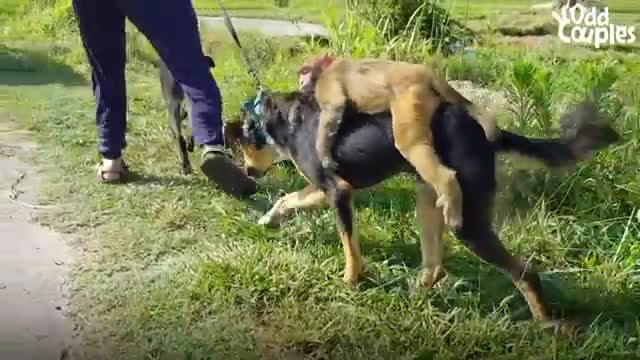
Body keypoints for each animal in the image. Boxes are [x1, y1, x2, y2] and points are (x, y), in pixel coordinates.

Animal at [225, 89, 620, 334]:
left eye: (242, 145)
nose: (249, 173)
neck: (281, 119)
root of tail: (484, 131)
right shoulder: (326, 188)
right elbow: (287, 200)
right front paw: (269, 218)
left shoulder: (338, 191)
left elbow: (349, 244)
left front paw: (351, 281)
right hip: (430, 200)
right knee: (436, 264)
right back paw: (416, 291)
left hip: (467, 223)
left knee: (526, 274)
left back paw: (547, 324)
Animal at [298, 53, 498, 228]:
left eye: (305, 71)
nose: (301, 81)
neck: (329, 66)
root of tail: (425, 73)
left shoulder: (327, 81)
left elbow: (335, 107)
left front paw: (324, 156)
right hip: (425, 98)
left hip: (410, 96)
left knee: (410, 144)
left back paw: (447, 187)